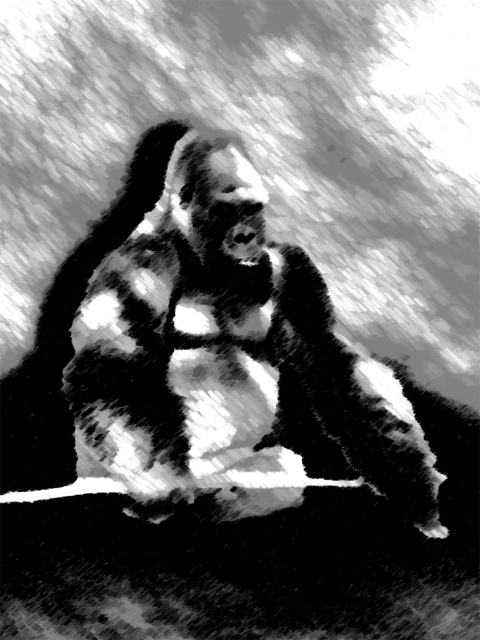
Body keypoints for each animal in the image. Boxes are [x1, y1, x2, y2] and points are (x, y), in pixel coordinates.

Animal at [61, 123, 448, 536]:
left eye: (254, 208)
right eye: (229, 208)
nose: (245, 236)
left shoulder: (292, 268)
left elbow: (334, 359)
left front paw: (414, 485)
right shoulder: (139, 261)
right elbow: (114, 364)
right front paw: (159, 486)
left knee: (278, 470)